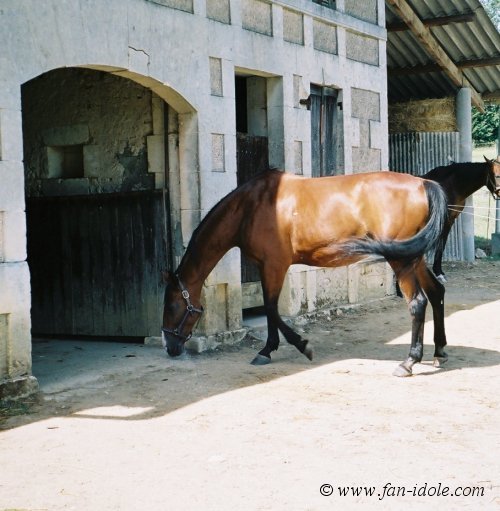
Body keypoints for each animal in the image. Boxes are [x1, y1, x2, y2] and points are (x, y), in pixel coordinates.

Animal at [161, 171, 450, 376]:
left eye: (172, 305)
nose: (170, 347)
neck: (250, 206)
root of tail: (424, 184)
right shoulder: (269, 266)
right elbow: (271, 310)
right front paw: (270, 349)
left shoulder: (274, 265)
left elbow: (271, 308)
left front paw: (298, 346)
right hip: (414, 257)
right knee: (436, 293)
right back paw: (439, 352)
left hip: (401, 260)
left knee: (417, 303)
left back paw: (408, 362)